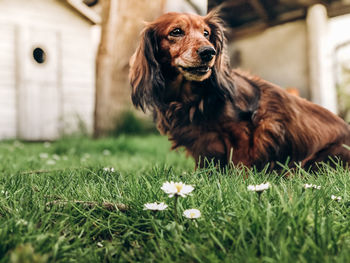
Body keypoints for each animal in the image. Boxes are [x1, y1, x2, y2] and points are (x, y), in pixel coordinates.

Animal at [129, 11, 350, 171]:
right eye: (176, 32)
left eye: (206, 33)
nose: (209, 52)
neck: (192, 97)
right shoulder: (199, 145)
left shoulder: (245, 131)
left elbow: (240, 164)